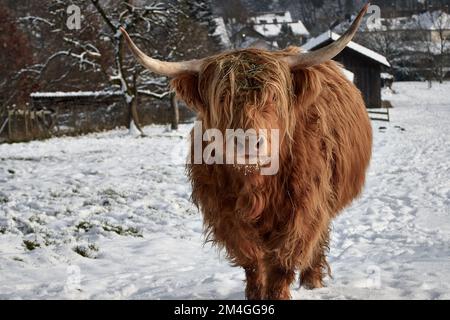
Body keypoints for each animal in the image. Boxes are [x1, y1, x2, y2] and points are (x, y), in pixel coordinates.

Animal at [120, 3, 372, 300]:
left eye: (273, 96)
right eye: (222, 98)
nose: (248, 141)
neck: (257, 182)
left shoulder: (304, 207)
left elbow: (283, 260)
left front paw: (278, 294)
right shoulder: (226, 214)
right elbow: (251, 260)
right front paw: (254, 294)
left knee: (317, 241)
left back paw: (313, 281)